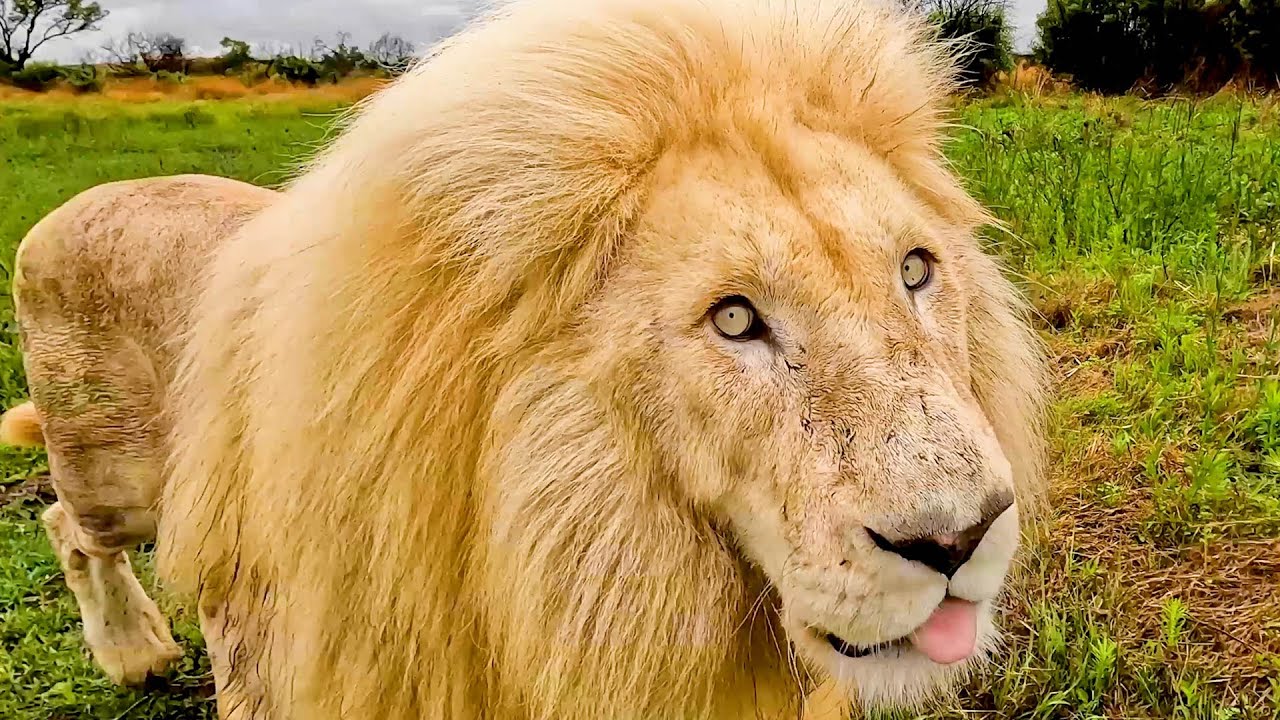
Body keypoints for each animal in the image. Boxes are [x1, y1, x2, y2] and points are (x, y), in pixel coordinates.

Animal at [1, 0, 1048, 718]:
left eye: (915, 270)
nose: (960, 539)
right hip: (114, 471)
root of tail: (63, 211)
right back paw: (135, 651)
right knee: (66, 523)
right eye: (735, 319)